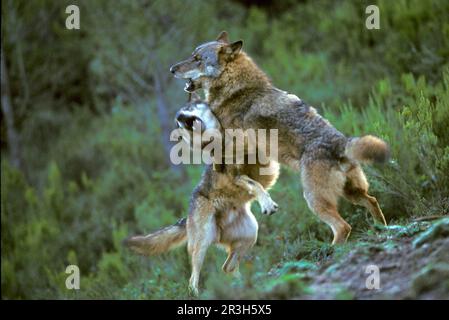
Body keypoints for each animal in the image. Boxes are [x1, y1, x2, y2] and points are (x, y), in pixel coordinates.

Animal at [126, 94, 278, 296]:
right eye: (178, 122)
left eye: (188, 109)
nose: (180, 118)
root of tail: (186, 216)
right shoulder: (237, 176)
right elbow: (256, 185)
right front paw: (267, 204)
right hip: (202, 245)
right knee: (193, 280)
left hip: (251, 234)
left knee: (227, 268)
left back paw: (245, 285)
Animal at [170, 30, 386, 245]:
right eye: (192, 56)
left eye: (197, 59)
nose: (172, 69)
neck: (235, 90)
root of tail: (342, 143)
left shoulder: (234, 144)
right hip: (352, 194)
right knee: (372, 201)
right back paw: (382, 230)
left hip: (314, 200)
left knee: (343, 227)